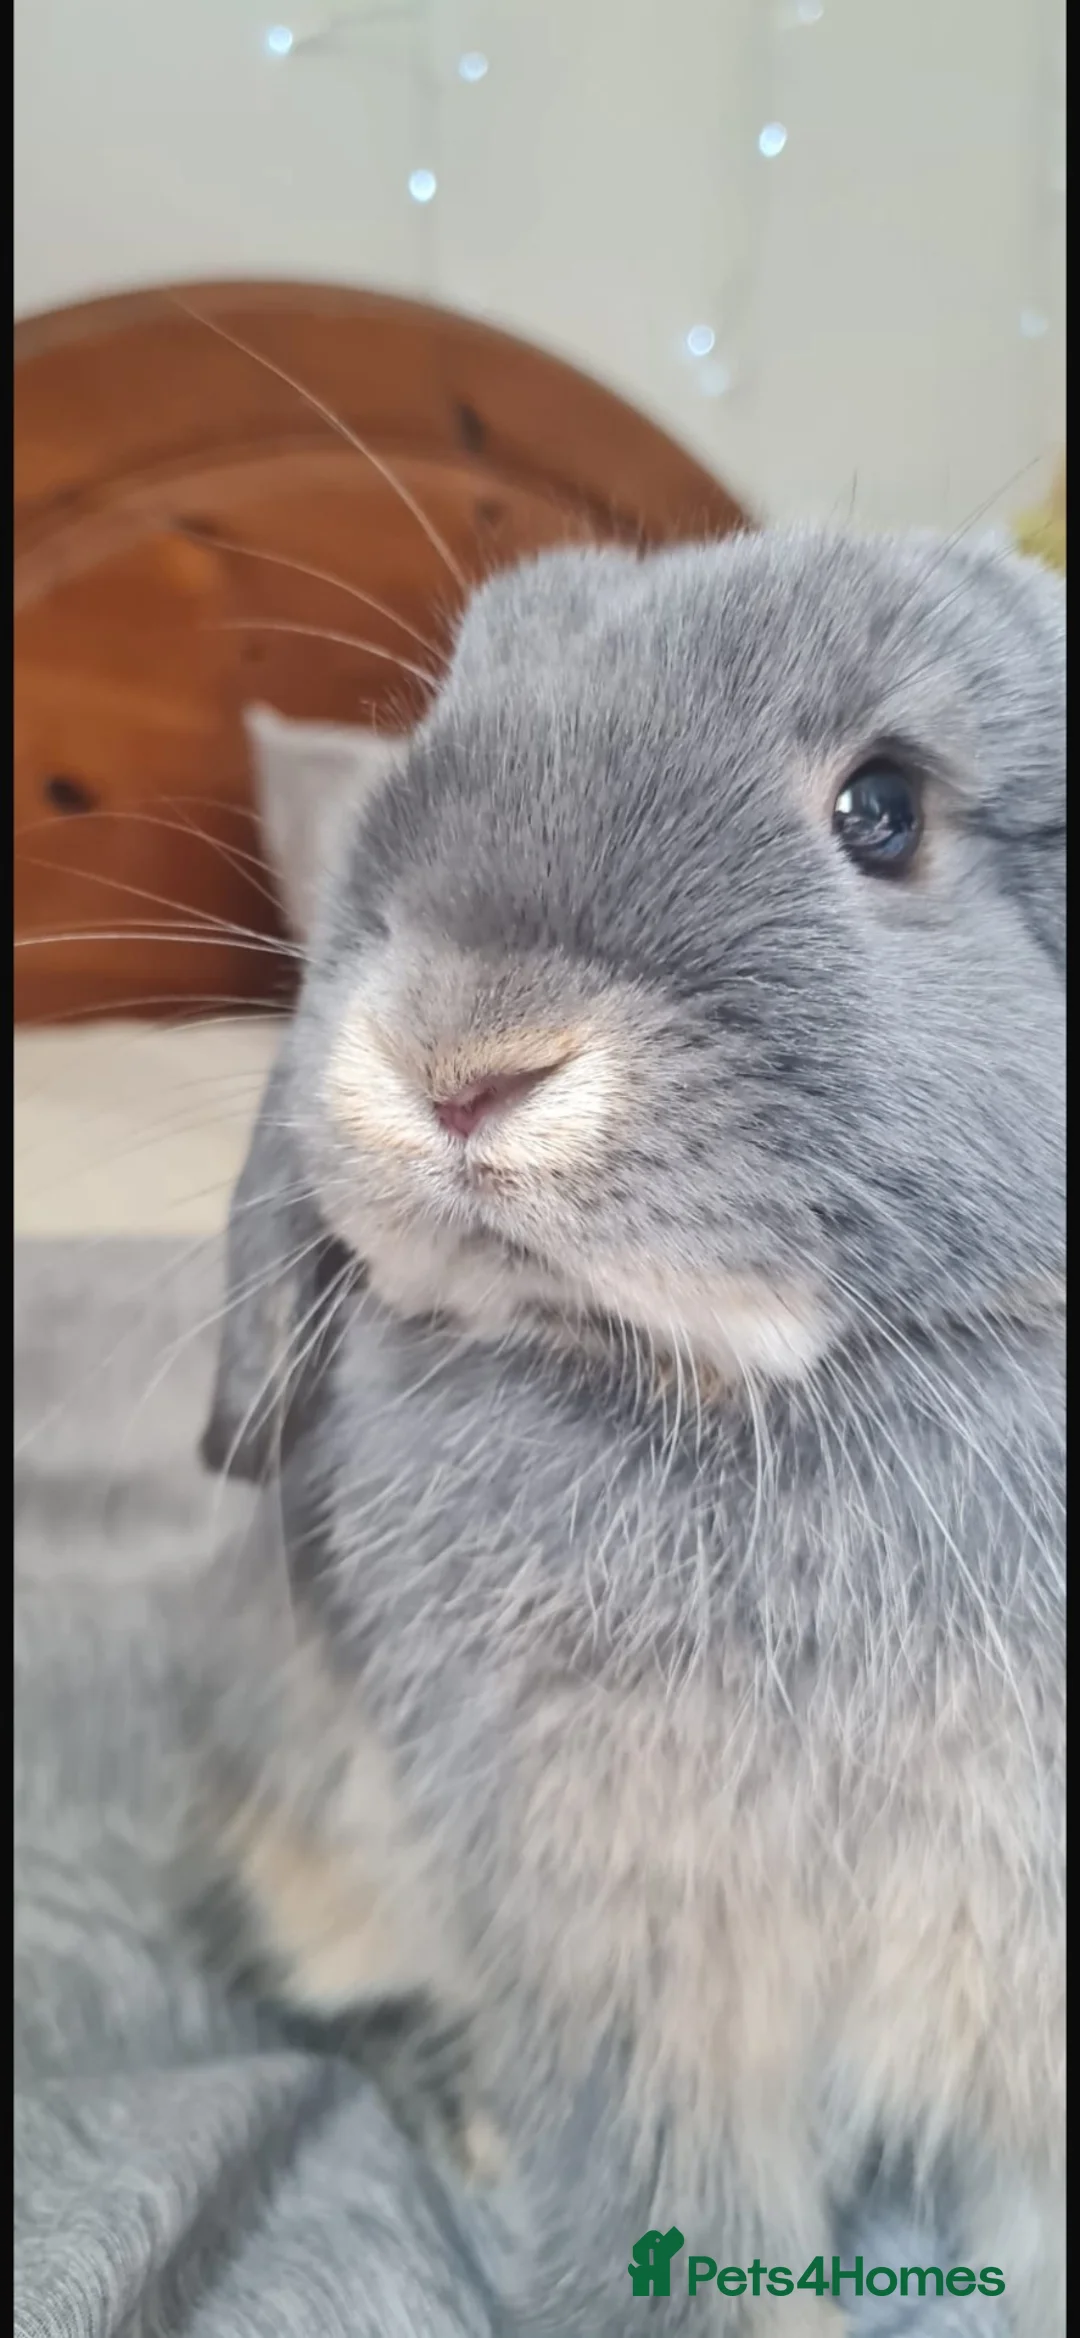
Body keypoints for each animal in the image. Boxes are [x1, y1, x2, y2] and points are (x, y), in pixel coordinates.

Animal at [193, 525, 1065, 2336]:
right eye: (441, 732)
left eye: (884, 808)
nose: (458, 1055)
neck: (744, 1392)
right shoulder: (631, 1985)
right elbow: (677, 2229)